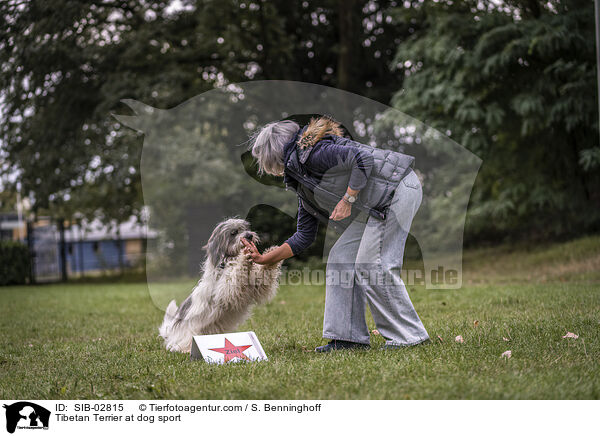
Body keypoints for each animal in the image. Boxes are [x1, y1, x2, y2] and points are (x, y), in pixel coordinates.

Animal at [158, 220, 282, 352]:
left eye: (245, 228)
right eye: (234, 233)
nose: (249, 235)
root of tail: (169, 331)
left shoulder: (255, 287)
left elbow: (263, 276)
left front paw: (271, 254)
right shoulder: (225, 291)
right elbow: (235, 276)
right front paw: (244, 256)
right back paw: (185, 349)